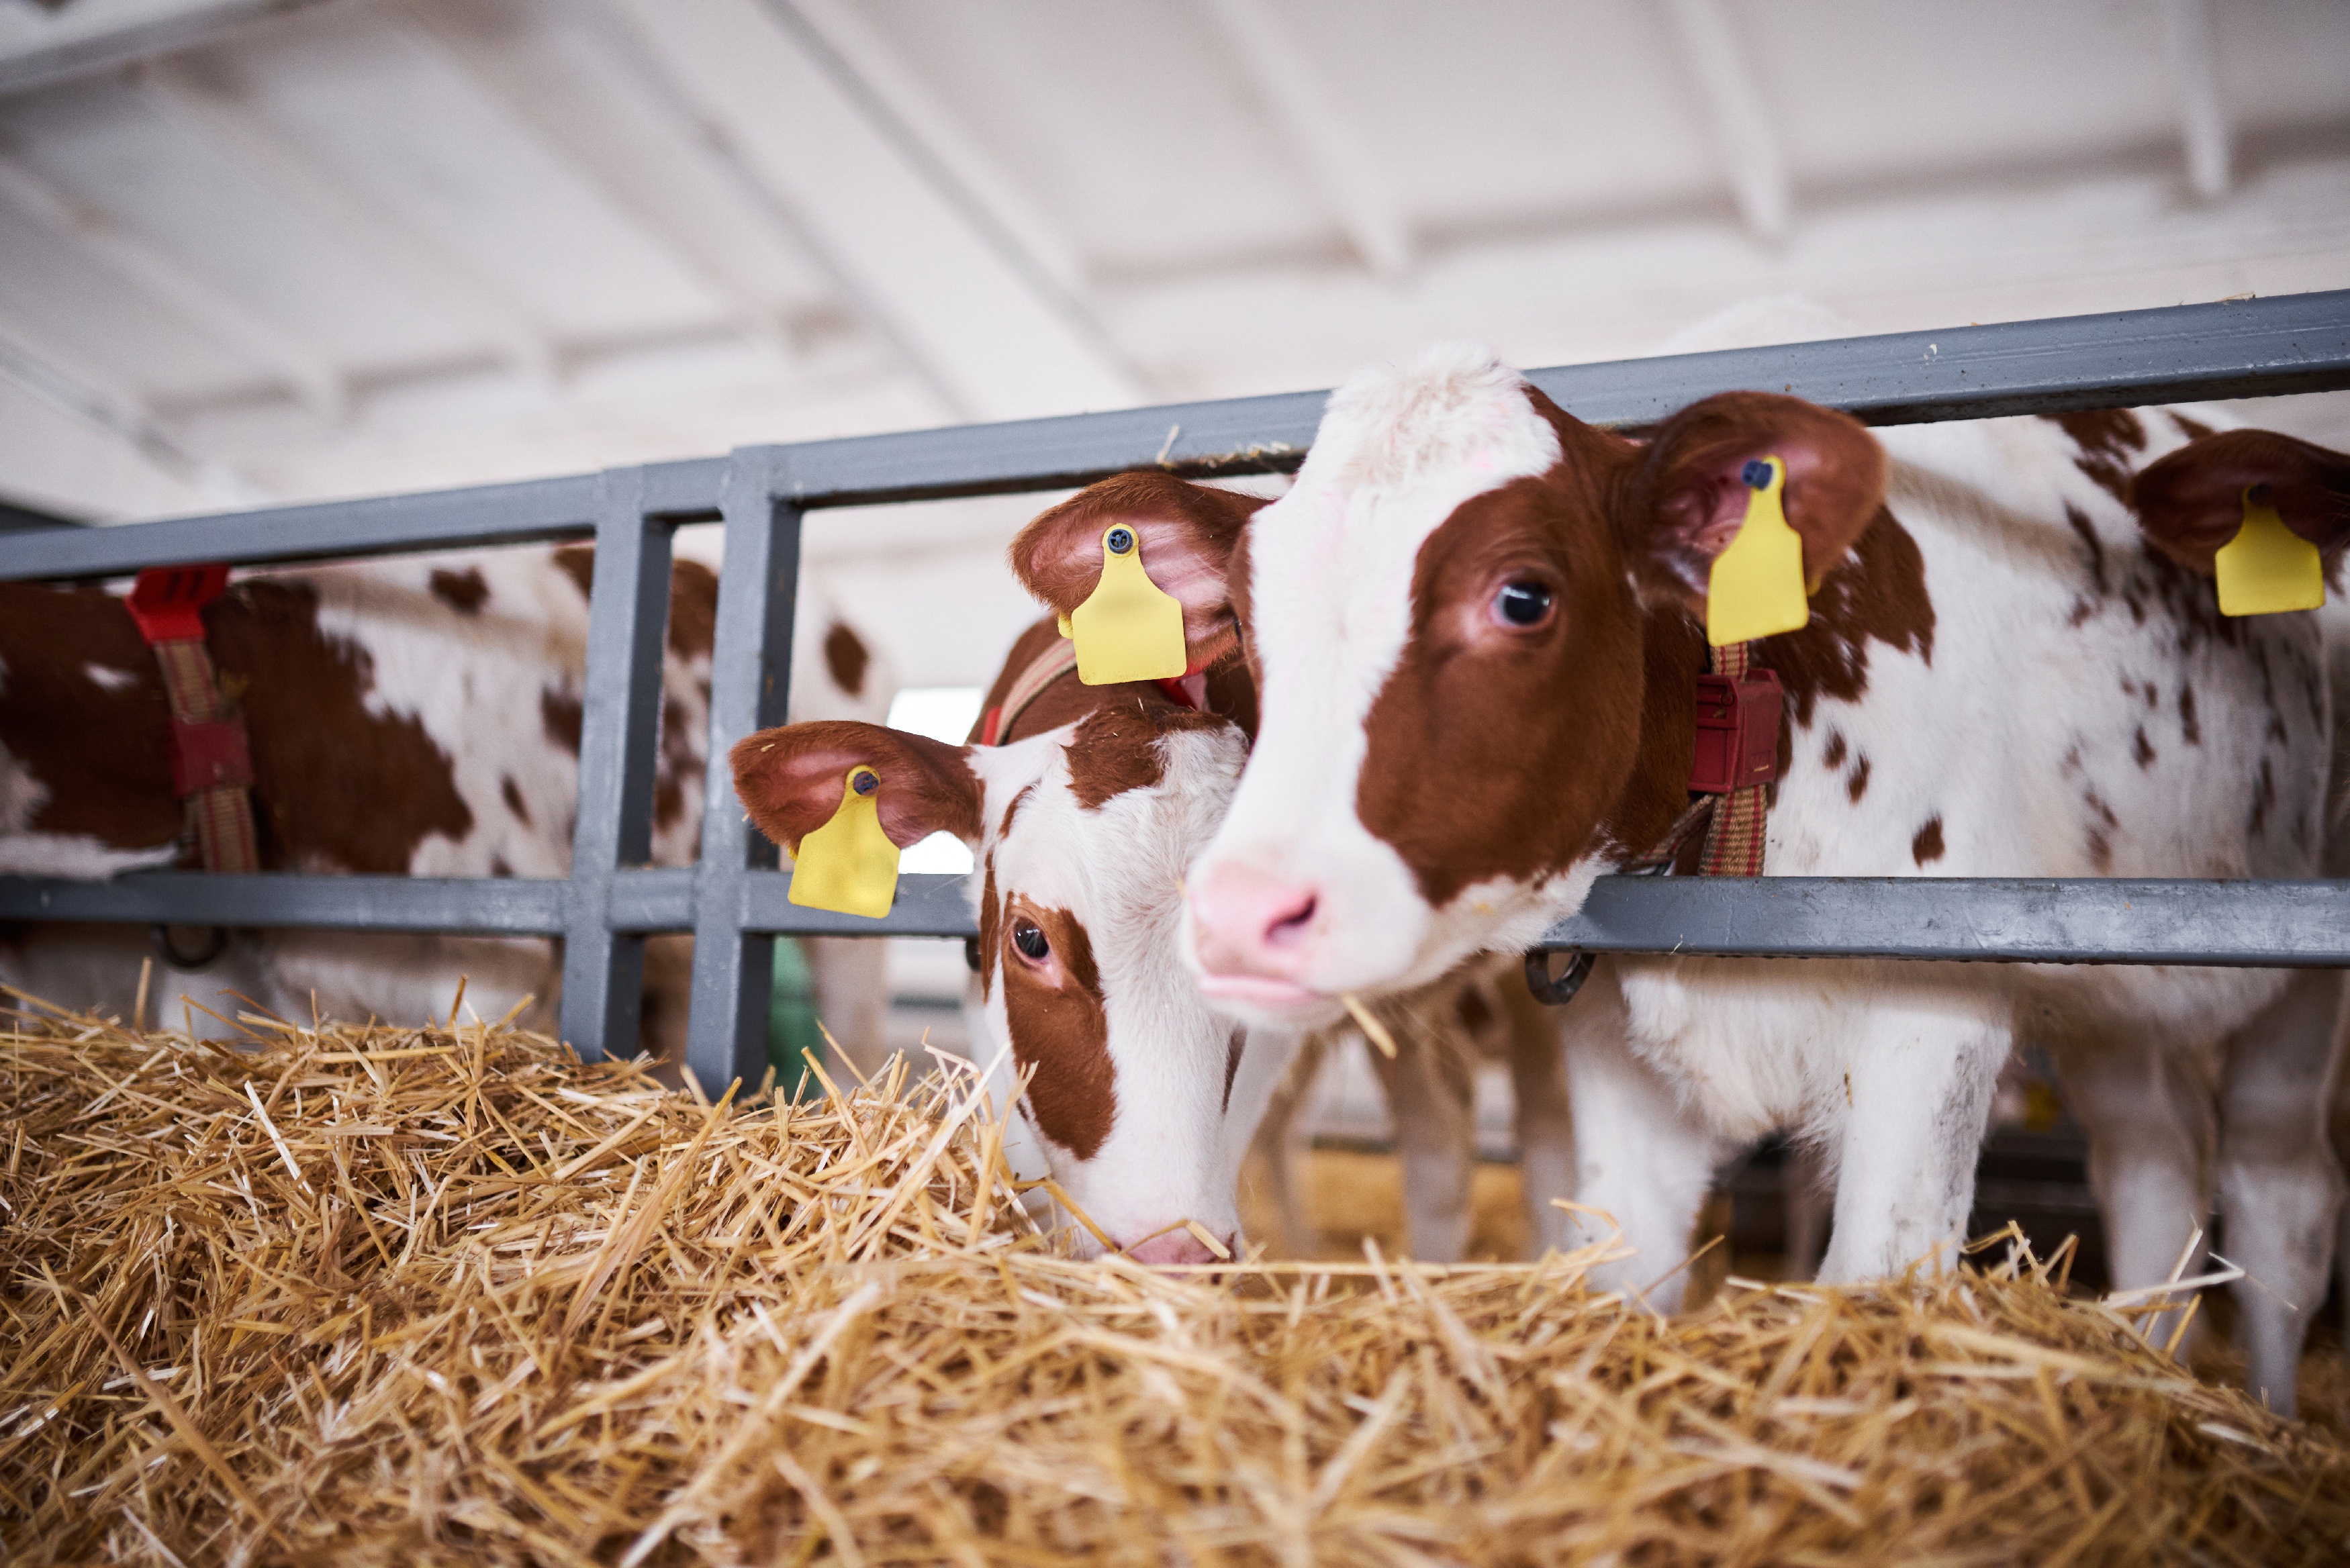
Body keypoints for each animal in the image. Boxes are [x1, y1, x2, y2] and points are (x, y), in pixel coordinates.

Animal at [1020, 345, 2350, 1401]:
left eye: (1523, 596)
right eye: (1249, 622)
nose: (1243, 910)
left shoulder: (1939, 1016)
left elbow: (1879, 1275)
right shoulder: (1614, 1044)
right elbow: (1633, 1271)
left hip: (2294, 985)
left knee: (2276, 1207)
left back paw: (2273, 1420)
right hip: (2121, 1010)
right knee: (2155, 1179)